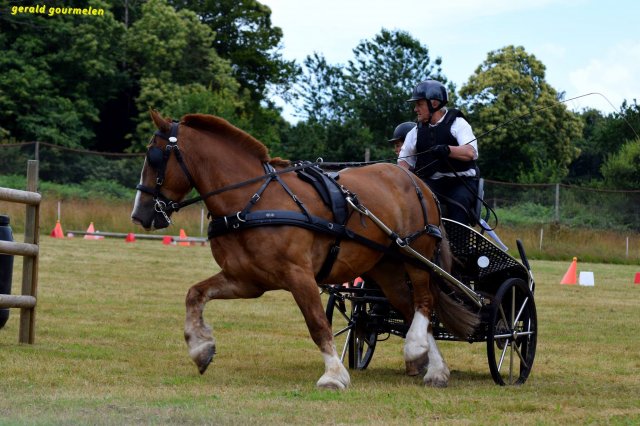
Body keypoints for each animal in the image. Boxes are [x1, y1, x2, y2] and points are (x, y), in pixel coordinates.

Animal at [131, 110, 478, 389]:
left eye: (154, 157)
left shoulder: (299, 276)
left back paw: (417, 349)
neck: (251, 201)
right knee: (409, 307)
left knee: (424, 302)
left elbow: (317, 324)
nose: (140, 215)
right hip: (385, 267)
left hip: (415, 253)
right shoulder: (245, 280)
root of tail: (416, 181)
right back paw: (434, 368)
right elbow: (195, 294)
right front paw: (200, 349)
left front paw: (334, 375)